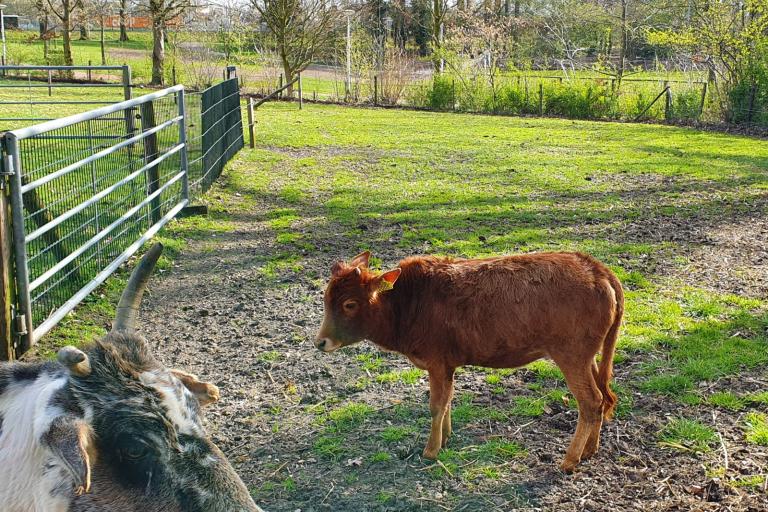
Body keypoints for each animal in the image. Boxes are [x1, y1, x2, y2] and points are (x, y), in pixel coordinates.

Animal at [318, 252, 624, 472]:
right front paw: (446, 436)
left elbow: (436, 405)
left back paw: (570, 460)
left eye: (349, 304)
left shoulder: (436, 361)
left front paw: (430, 450)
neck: (407, 306)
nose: (320, 342)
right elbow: (448, 401)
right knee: (604, 397)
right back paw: (590, 450)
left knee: (591, 401)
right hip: (588, 356)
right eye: (325, 298)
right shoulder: (447, 365)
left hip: (571, 354)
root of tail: (598, 269)